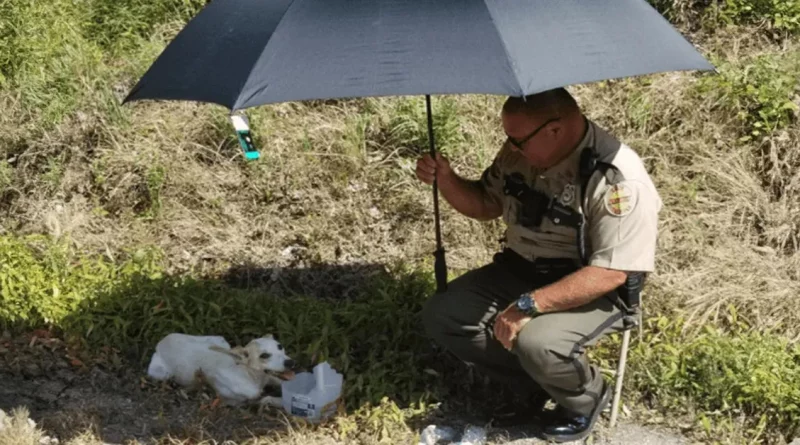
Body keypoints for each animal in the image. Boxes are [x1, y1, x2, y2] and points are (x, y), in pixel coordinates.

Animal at [146, 330, 294, 406]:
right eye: (264, 355)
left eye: (280, 346)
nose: (290, 363)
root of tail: (161, 342)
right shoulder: (239, 401)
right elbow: (265, 399)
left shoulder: (270, 378)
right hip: (161, 374)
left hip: (219, 340)